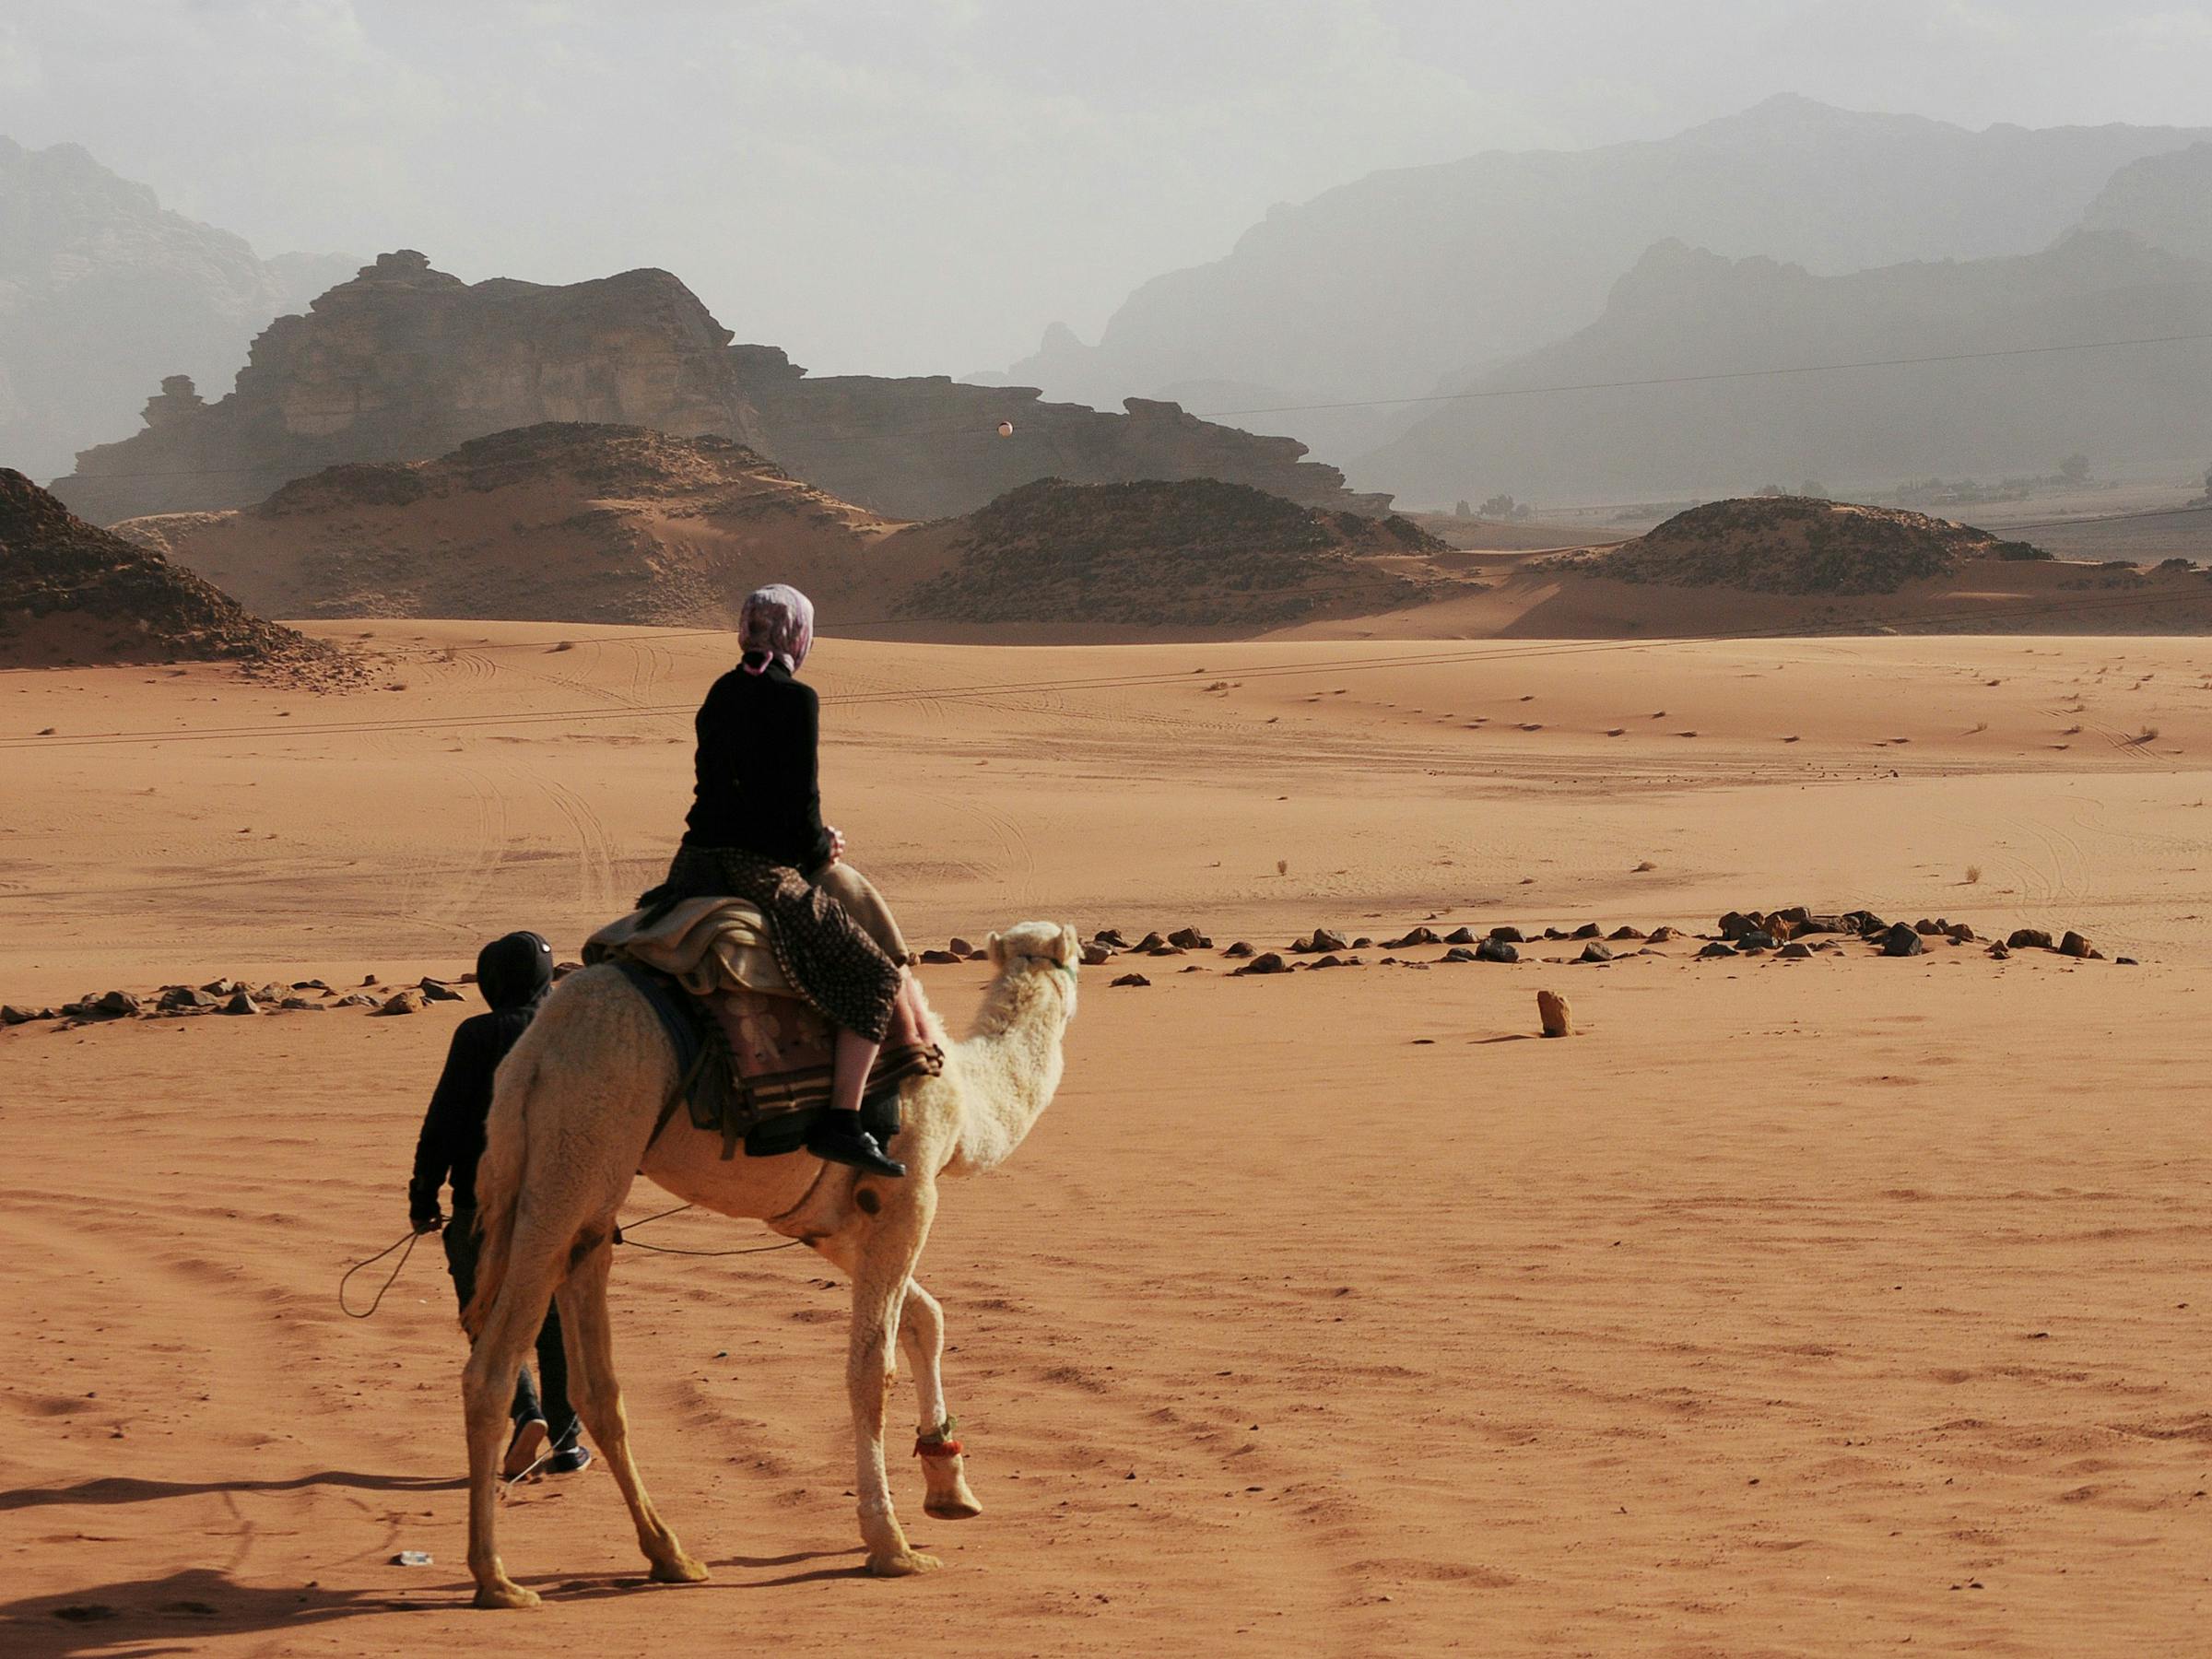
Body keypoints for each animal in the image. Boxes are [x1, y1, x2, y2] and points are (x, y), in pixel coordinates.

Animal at [456, 919, 1081, 1609]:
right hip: (580, 1141)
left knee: (596, 1382)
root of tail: (531, 1055)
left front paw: (950, 1485)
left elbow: (927, 1316)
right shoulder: (907, 1192)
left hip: (588, 1185)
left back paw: (670, 1555)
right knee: (491, 1368)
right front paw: (890, 1544)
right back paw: (497, 1579)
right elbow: (872, 1369)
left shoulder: (824, 1223)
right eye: (1073, 956)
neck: (969, 1102)